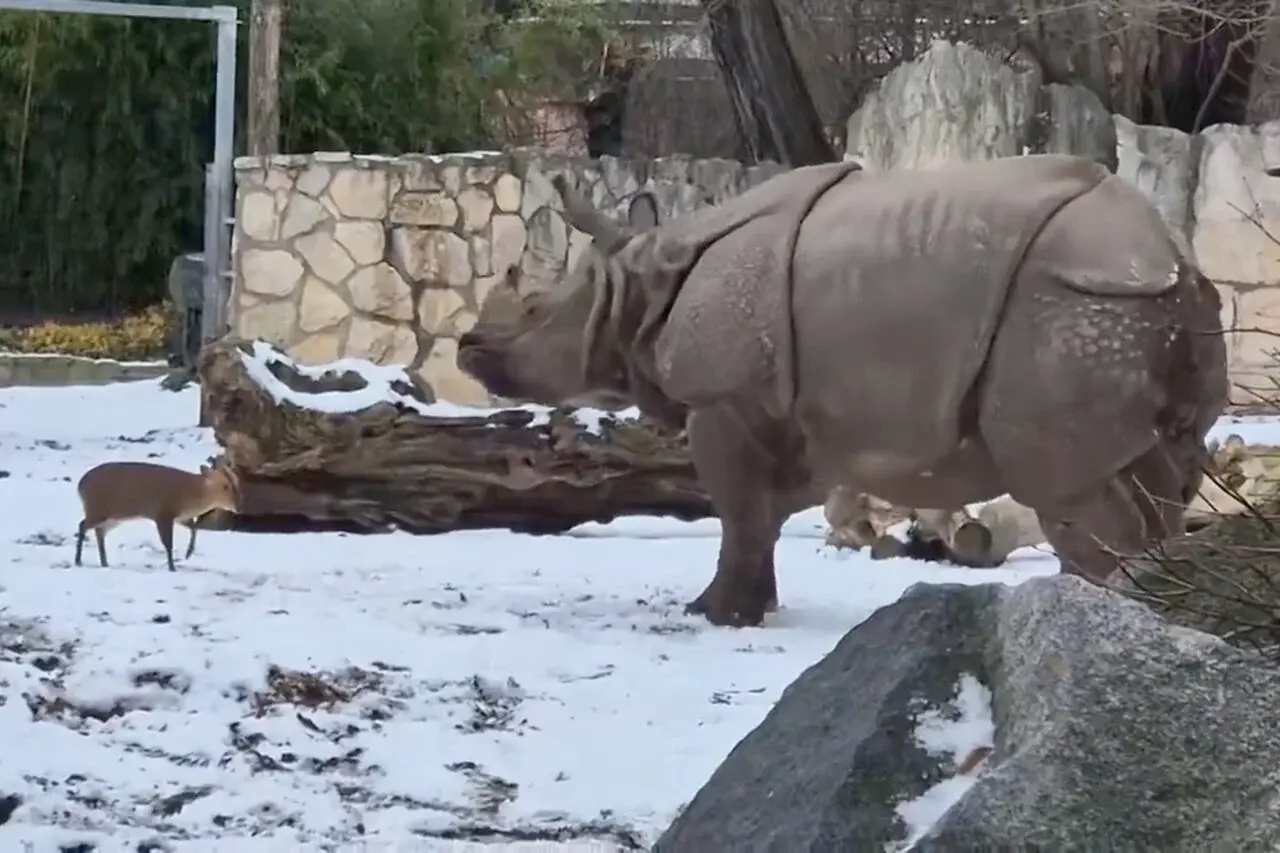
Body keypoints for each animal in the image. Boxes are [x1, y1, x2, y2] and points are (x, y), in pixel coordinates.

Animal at [457, 155, 1229, 627]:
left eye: (532, 310)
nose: (467, 349)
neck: (644, 280)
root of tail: (1171, 254)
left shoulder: (722, 398)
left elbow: (738, 512)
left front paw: (712, 616)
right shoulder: (790, 409)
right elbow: (764, 515)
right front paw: (751, 610)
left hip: (1077, 305)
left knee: (1071, 491)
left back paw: (1107, 618)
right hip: (1151, 310)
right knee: (1162, 481)